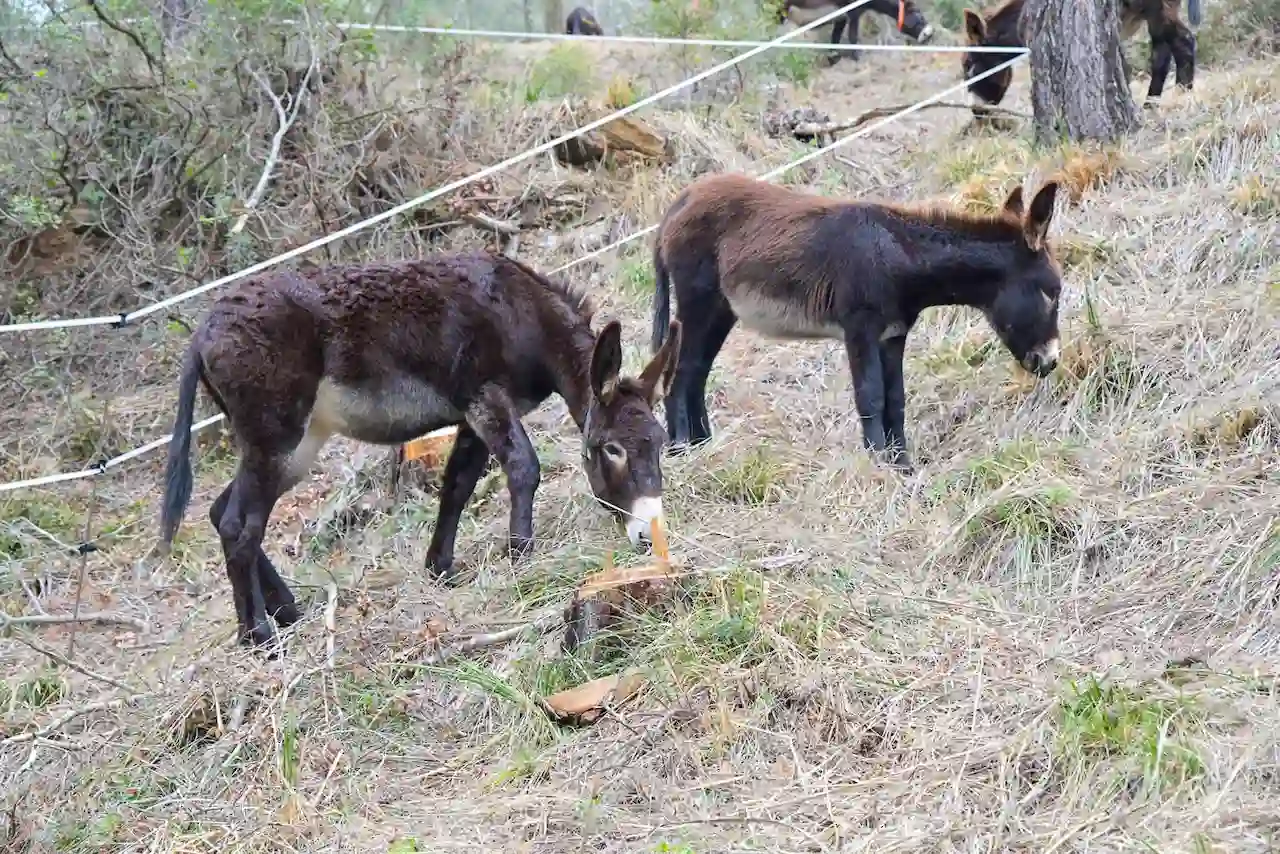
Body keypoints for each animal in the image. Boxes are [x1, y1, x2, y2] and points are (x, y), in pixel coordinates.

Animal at [161, 250, 686, 650]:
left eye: (660, 444)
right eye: (611, 449)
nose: (651, 533)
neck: (521, 312)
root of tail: (202, 331)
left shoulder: (473, 415)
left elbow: (458, 484)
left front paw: (441, 567)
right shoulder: (484, 397)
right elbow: (523, 467)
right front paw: (521, 556)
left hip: (294, 443)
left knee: (221, 511)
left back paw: (286, 611)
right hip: (277, 436)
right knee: (239, 524)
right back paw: (258, 636)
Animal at [655, 170, 1064, 471]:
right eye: (1052, 293)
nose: (1051, 362)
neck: (899, 256)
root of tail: (681, 199)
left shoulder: (893, 335)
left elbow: (895, 399)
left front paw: (903, 468)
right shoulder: (860, 329)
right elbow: (870, 395)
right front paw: (878, 467)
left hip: (721, 310)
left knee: (697, 372)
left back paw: (704, 446)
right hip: (698, 301)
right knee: (681, 371)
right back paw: (681, 450)